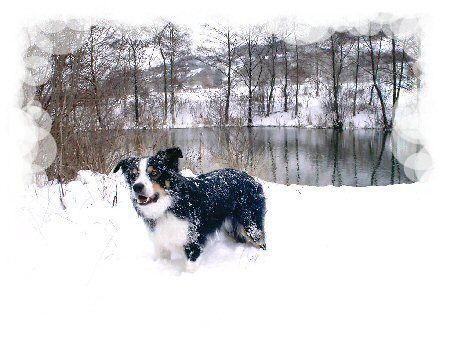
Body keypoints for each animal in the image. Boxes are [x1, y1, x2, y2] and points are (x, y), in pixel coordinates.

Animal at [113, 148, 268, 270]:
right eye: (133, 175)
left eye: (154, 173)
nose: (137, 187)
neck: (169, 206)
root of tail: (251, 178)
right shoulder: (160, 242)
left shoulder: (193, 241)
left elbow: (190, 268)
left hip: (250, 223)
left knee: (261, 241)